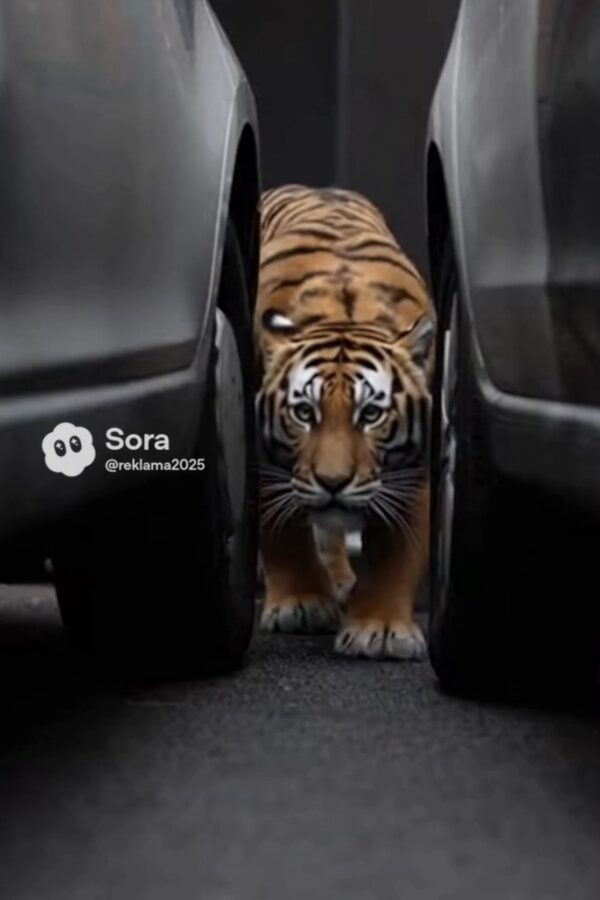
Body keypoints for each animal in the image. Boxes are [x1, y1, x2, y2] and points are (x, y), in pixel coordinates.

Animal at [255, 184, 435, 660]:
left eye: (371, 414)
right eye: (303, 412)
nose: (333, 482)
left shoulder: (414, 466)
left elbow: (397, 550)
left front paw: (382, 629)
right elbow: (279, 531)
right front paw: (301, 605)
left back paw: (340, 580)